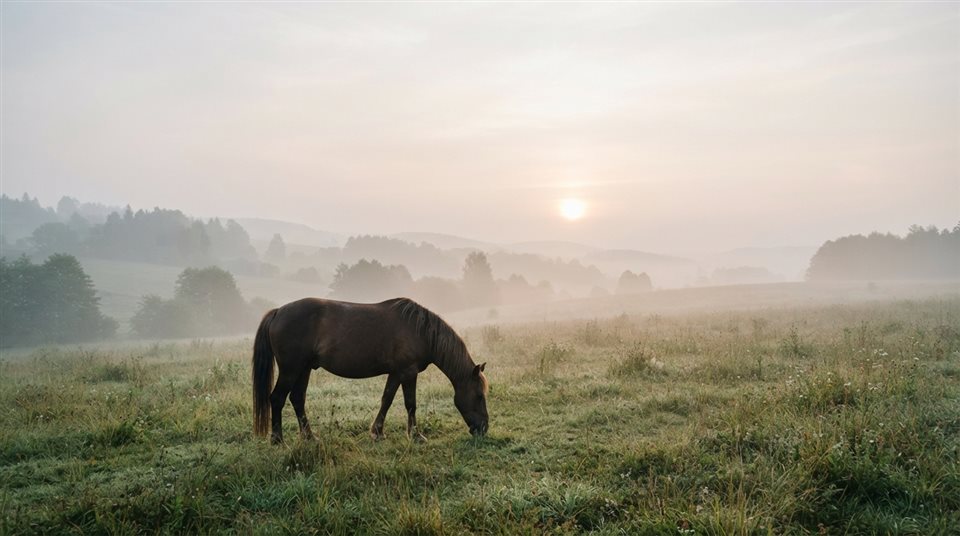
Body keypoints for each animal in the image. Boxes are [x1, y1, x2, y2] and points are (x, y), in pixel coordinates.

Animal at [252, 297, 488, 444]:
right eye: (479, 395)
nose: (484, 429)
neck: (420, 331)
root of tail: (278, 312)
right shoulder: (408, 372)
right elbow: (410, 404)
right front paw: (416, 435)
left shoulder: (396, 373)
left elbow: (387, 399)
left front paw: (377, 432)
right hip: (290, 370)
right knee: (277, 398)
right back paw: (277, 439)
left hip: (304, 369)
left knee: (297, 399)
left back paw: (310, 437)